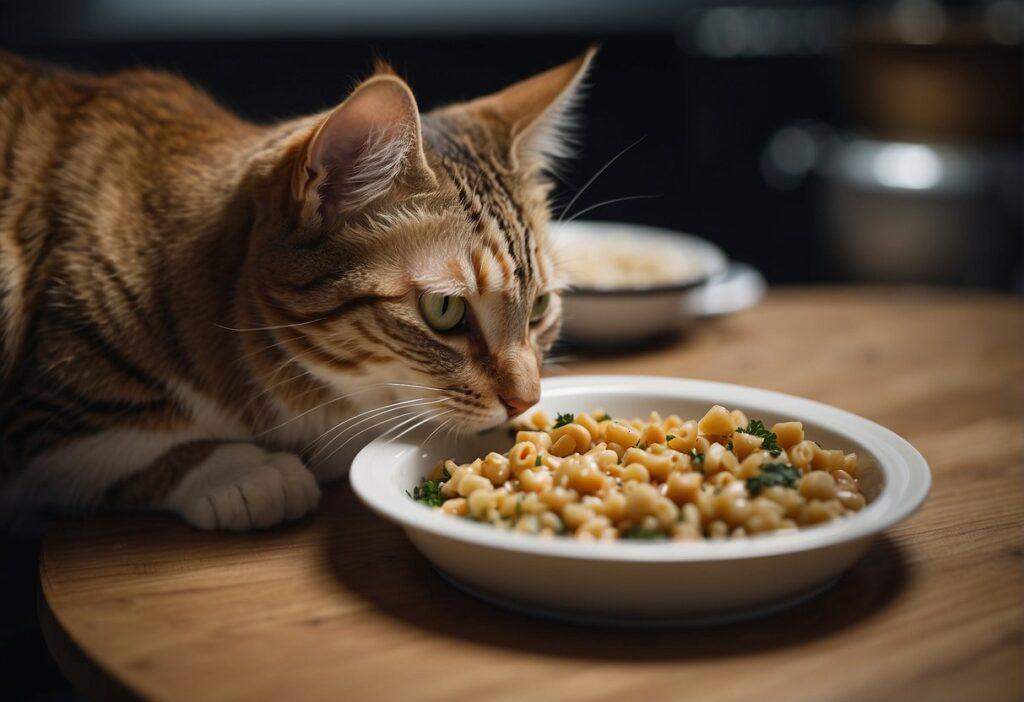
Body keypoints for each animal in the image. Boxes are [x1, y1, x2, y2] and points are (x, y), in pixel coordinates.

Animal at [0, 46, 593, 532]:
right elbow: (141, 450)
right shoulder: (49, 422)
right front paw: (247, 472)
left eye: (539, 307)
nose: (527, 401)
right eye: (444, 310)